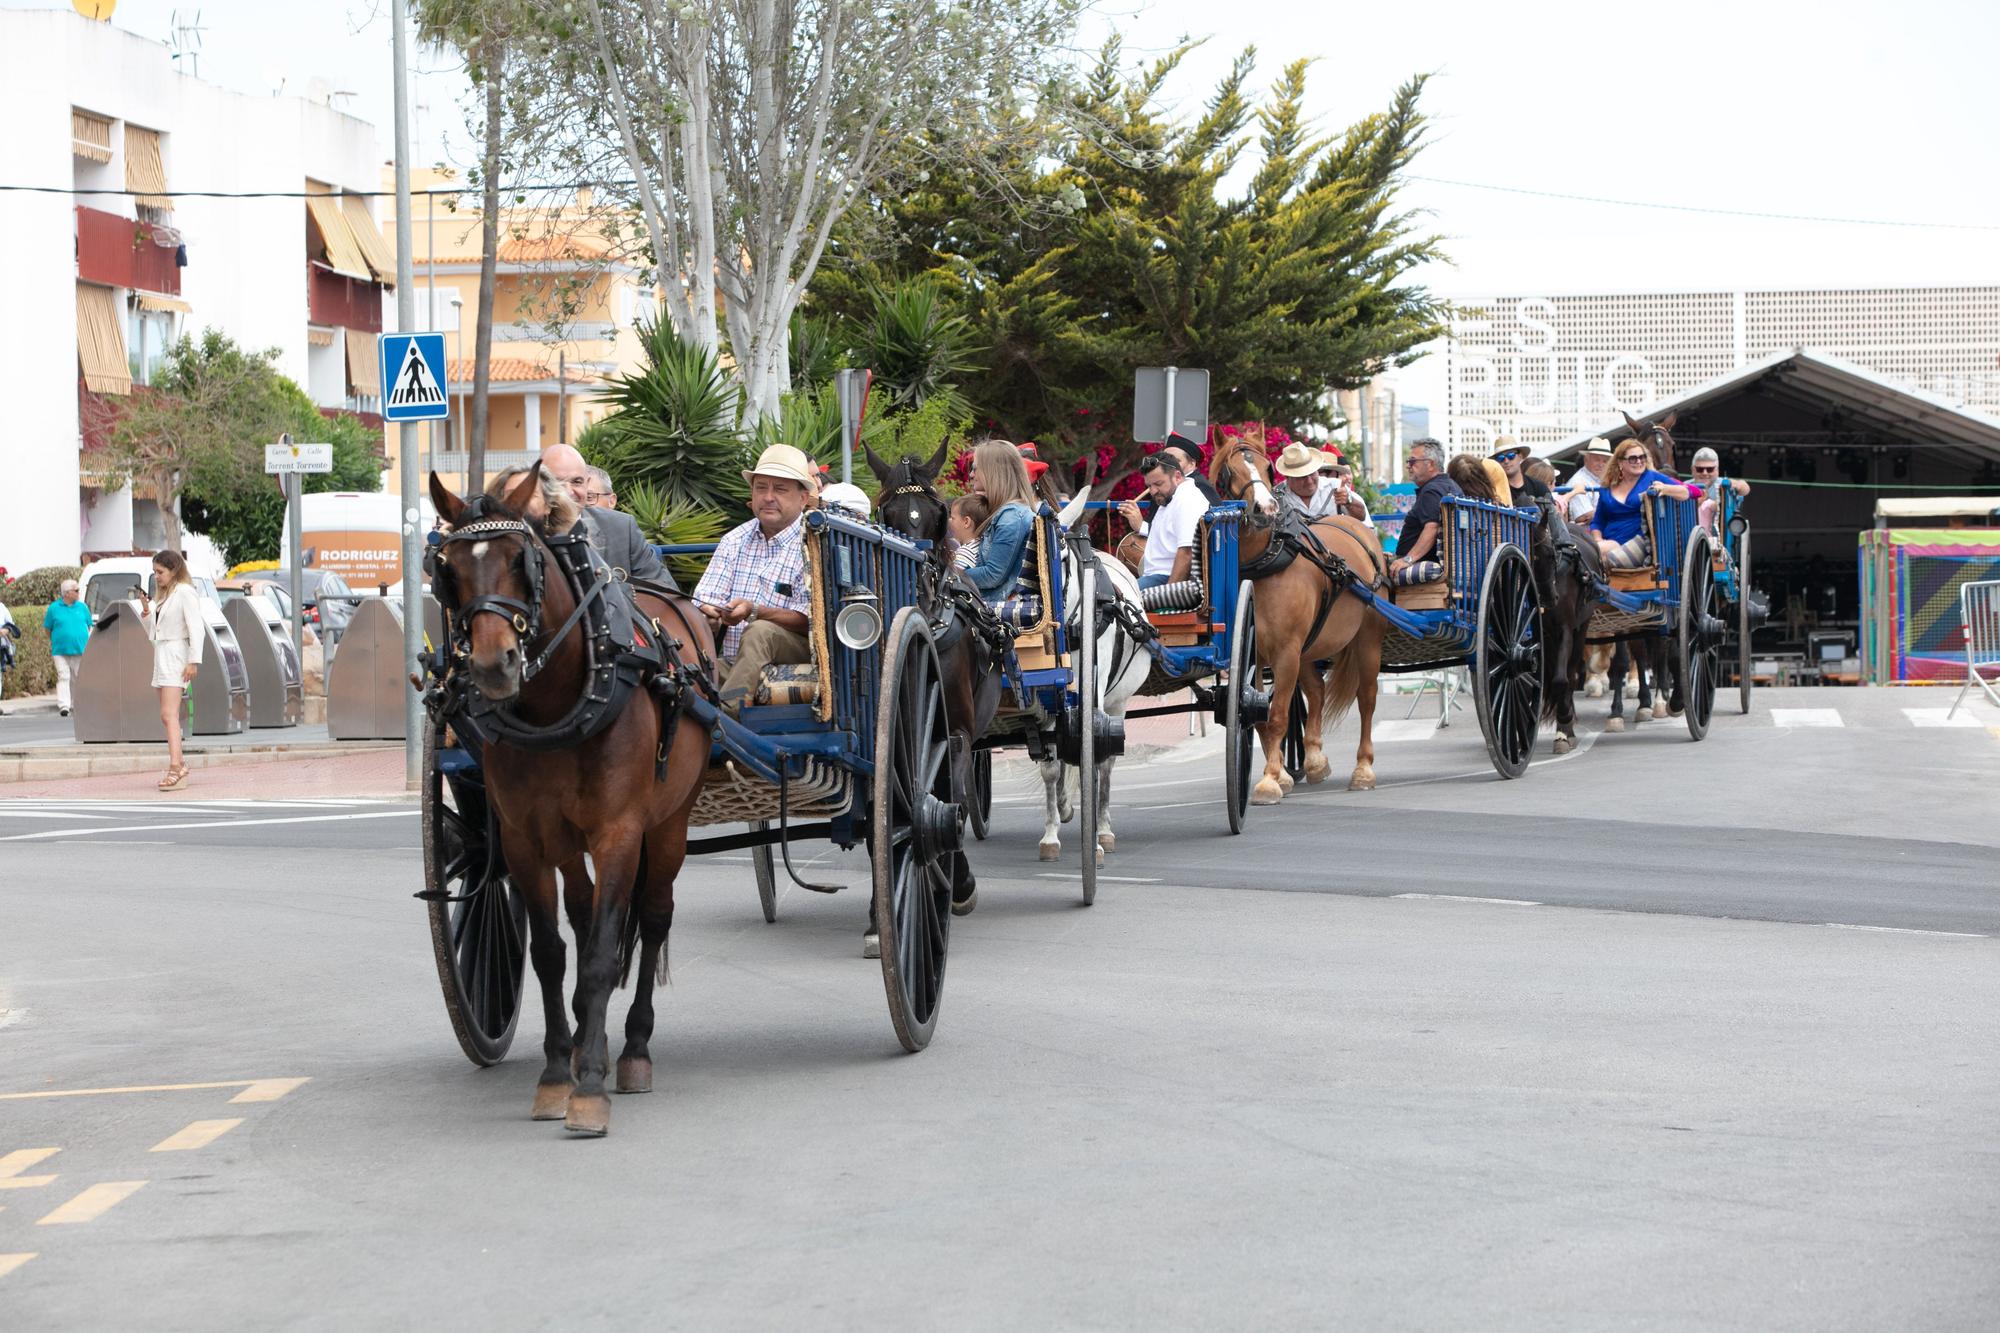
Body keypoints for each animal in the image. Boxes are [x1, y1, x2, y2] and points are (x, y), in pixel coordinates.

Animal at [1040, 488, 1152, 860]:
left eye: (1061, 555)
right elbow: (1050, 765)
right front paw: (1050, 833)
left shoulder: (1095, 692)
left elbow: (1091, 756)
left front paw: (1096, 838)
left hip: (1118, 703)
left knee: (1106, 764)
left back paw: (1102, 828)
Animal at [1200, 436, 1392, 800]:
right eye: (1228, 472)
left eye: (1267, 468)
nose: (1264, 510)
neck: (1265, 563)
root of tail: (1356, 528)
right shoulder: (1255, 655)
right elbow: (1260, 714)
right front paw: (1280, 775)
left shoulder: (1286, 651)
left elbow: (1276, 714)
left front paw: (1269, 781)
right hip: (1308, 646)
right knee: (1316, 690)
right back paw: (1315, 760)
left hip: (1366, 638)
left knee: (1367, 697)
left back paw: (1364, 769)